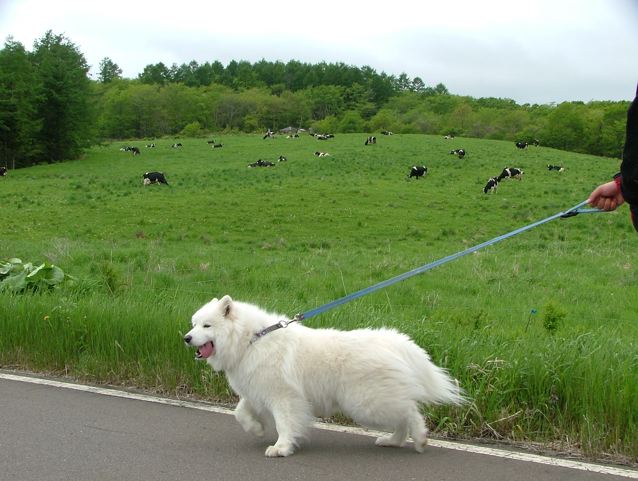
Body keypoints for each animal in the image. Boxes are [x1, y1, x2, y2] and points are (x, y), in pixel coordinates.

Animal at [182, 294, 468, 456]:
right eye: (193, 324)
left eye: (206, 326)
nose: (186, 338)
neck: (251, 339)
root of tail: (397, 343)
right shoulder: (258, 391)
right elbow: (239, 412)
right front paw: (257, 429)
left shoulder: (284, 397)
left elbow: (285, 423)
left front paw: (281, 448)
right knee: (403, 418)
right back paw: (392, 442)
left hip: (366, 403)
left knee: (410, 413)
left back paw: (419, 439)